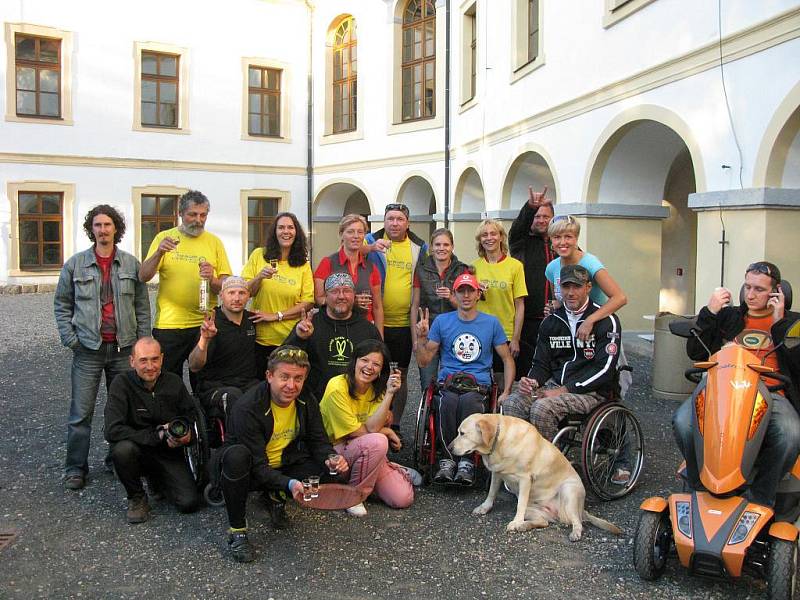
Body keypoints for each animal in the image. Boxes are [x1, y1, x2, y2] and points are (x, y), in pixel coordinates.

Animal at [450, 414, 620, 540]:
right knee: (543, 522)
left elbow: (520, 504)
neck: (500, 440)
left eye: (462, 433)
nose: (450, 448)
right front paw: (485, 507)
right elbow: (491, 493)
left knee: (578, 522)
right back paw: (525, 525)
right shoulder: (497, 473)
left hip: (569, 491)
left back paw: (574, 533)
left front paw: (516, 521)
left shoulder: (525, 479)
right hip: (533, 509)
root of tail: (582, 509)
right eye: (458, 432)